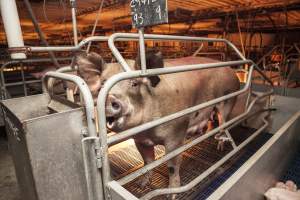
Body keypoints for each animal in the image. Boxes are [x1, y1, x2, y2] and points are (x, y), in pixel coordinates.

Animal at [76, 50, 240, 195]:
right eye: (102, 85)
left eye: (134, 84)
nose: (110, 99)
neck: (148, 131)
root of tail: (232, 72)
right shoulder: (140, 140)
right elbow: (148, 162)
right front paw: (141, 185)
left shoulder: (176, 135)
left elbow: (173, 166)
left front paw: (171, 194)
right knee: (212, 121)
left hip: (228, 101)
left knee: (223, 124)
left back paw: (220, 147)